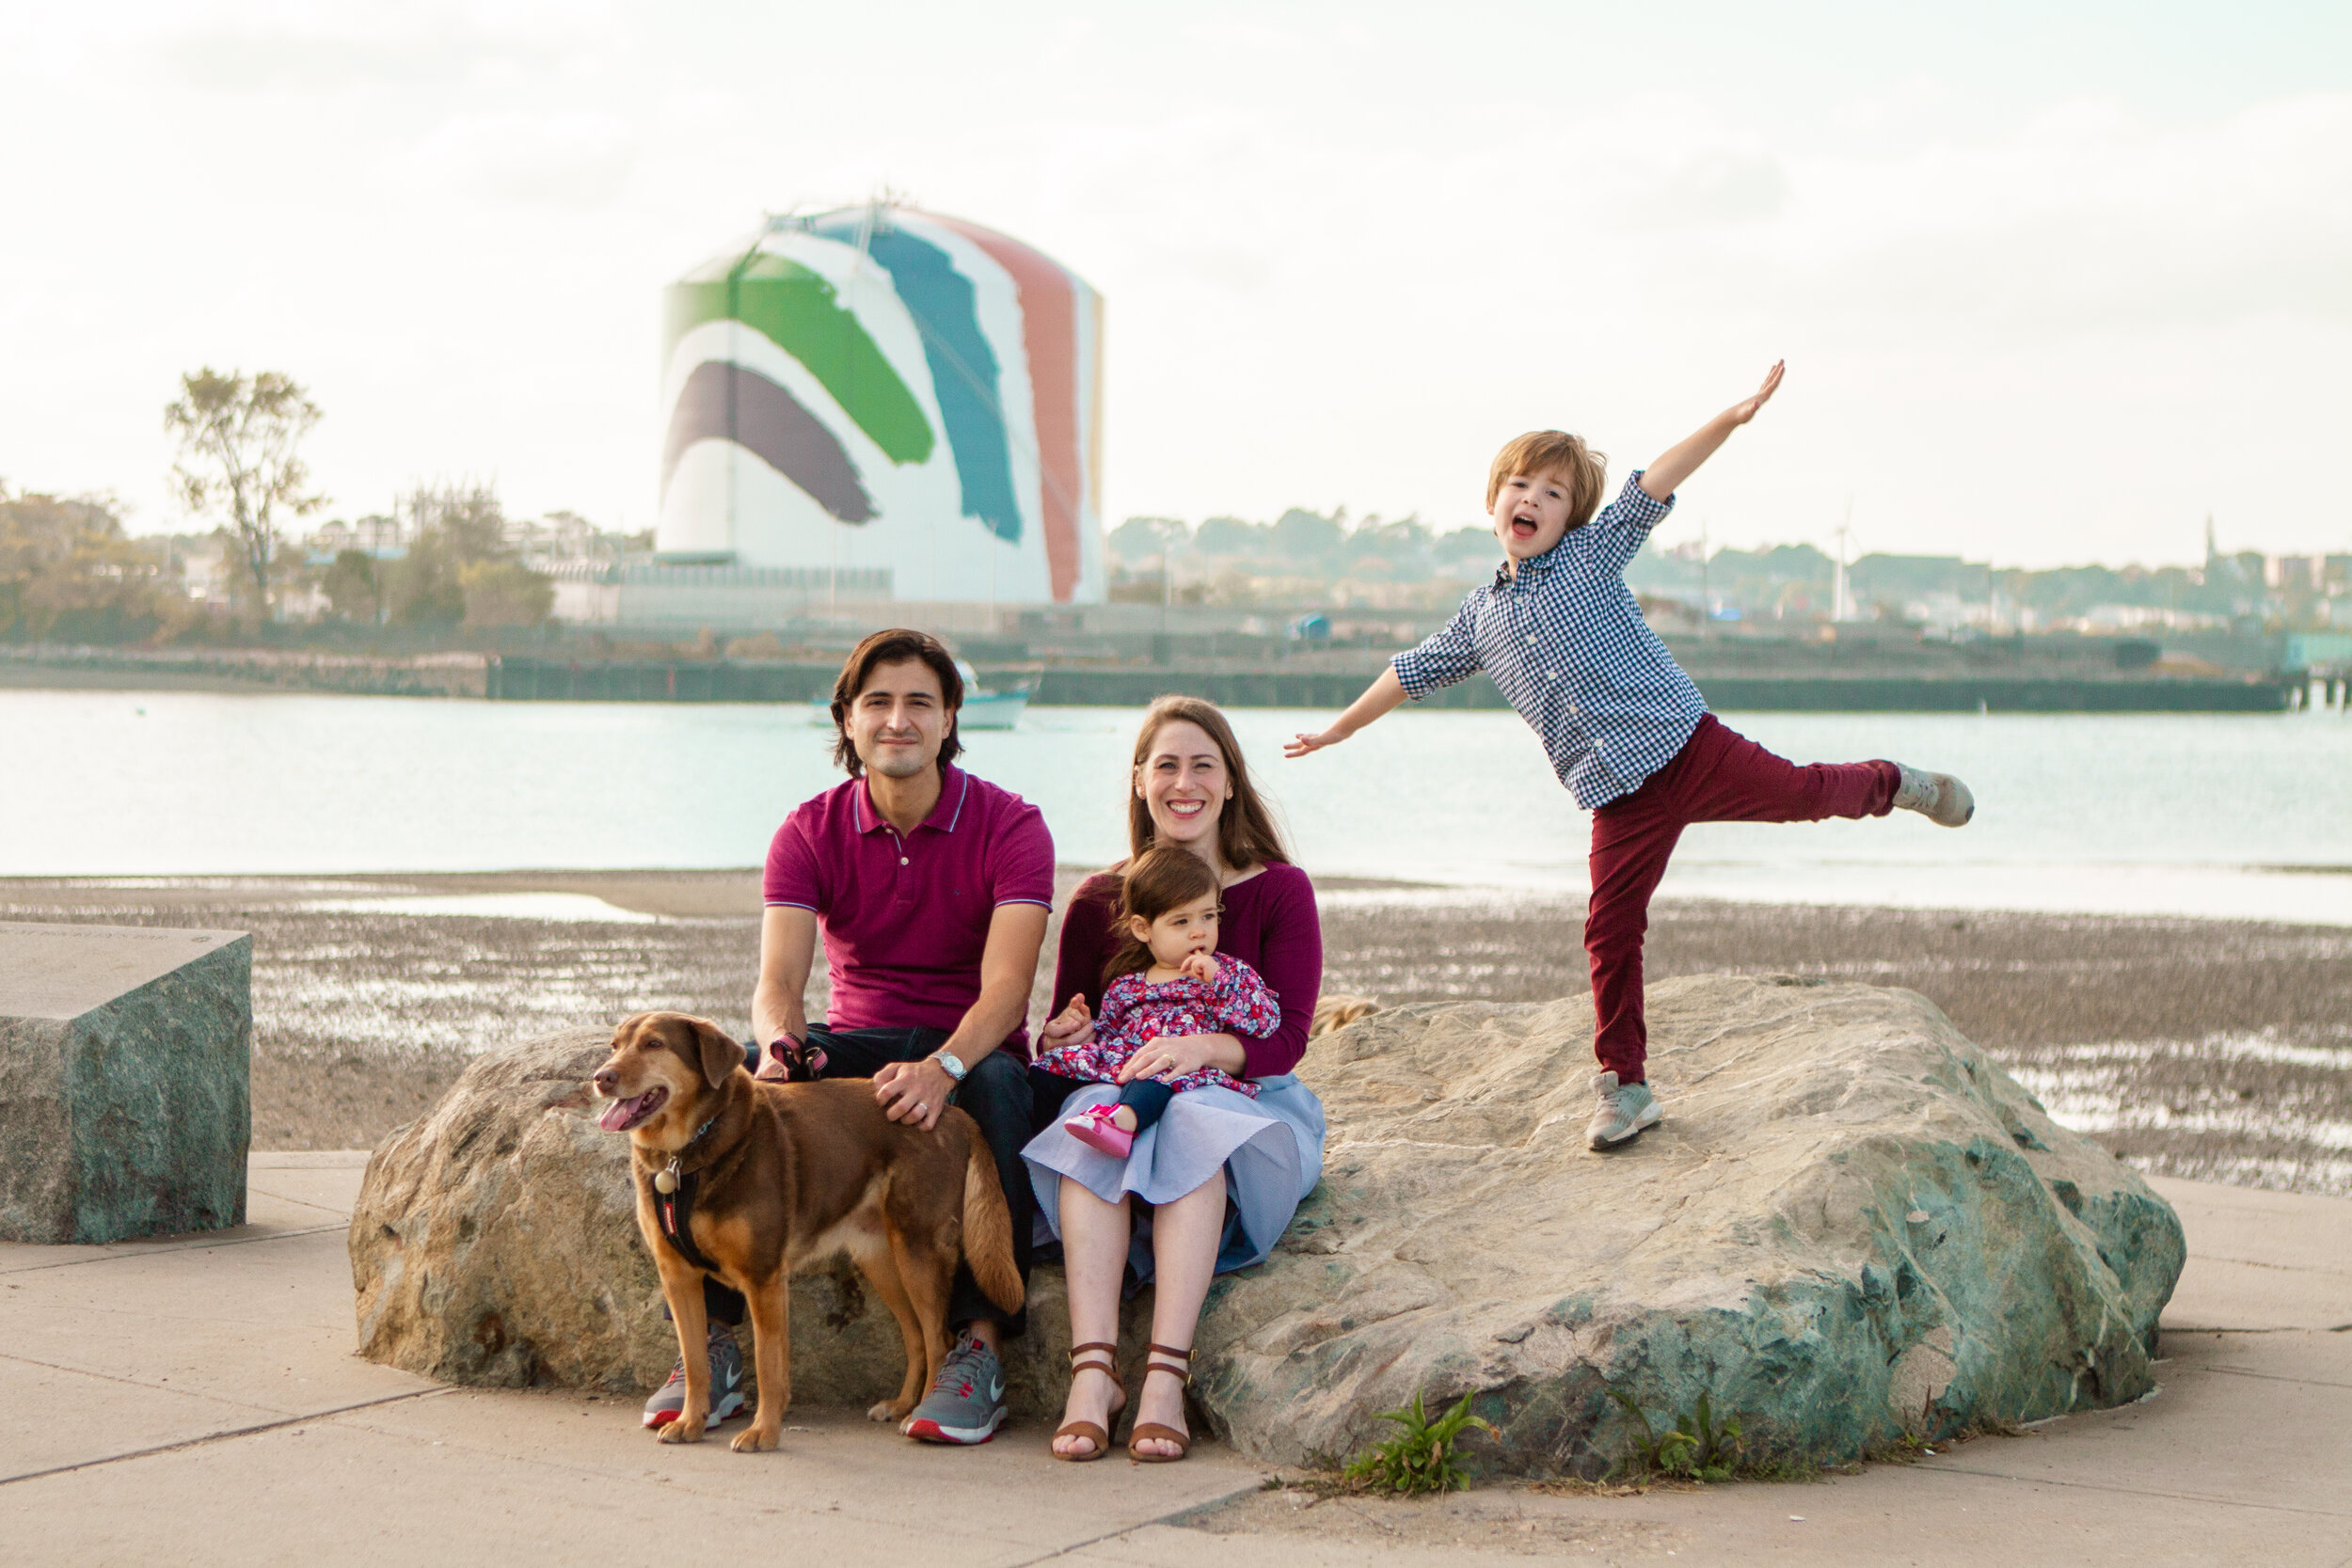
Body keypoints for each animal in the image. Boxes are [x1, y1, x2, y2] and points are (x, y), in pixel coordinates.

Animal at [588, 1010, 1021, 1457]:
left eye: (654, 1044)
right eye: (615, 1046)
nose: (601, 1078)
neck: (683, 1153)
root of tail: (954, 1115)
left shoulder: (763, 1279)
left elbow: (768, 1365)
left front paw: (764, 1431)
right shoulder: (678, 1277)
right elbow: (694, 1363)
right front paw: (691, 1421)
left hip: (919, 1252)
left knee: (939, 1340)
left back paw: (923, 1413)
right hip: (882, 1259)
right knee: (916, 1336)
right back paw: (902, 1405)